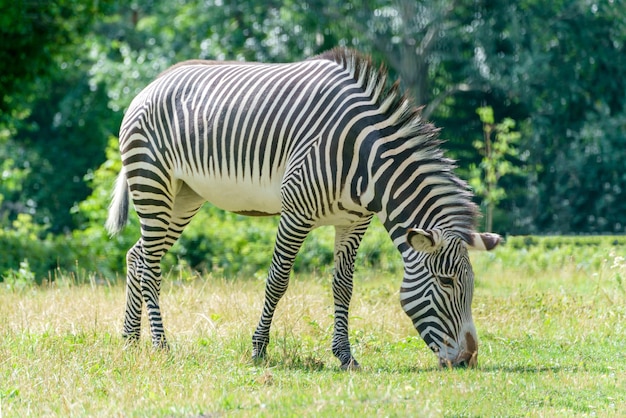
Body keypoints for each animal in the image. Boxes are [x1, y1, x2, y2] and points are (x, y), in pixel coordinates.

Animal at [106, 49, 498, 370]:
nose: (468, 360)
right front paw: (259, 349)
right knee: (151, 265)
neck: (364, 160)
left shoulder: (355, 222)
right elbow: (277, 280)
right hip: (153, 182)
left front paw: (345, 355)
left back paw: (130, 340)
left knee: (136, 255)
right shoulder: (296, 213)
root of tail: (151, 83)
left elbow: (343, 286)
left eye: (471, 283)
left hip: (184, 196)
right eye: (446, 282)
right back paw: (160, 344)